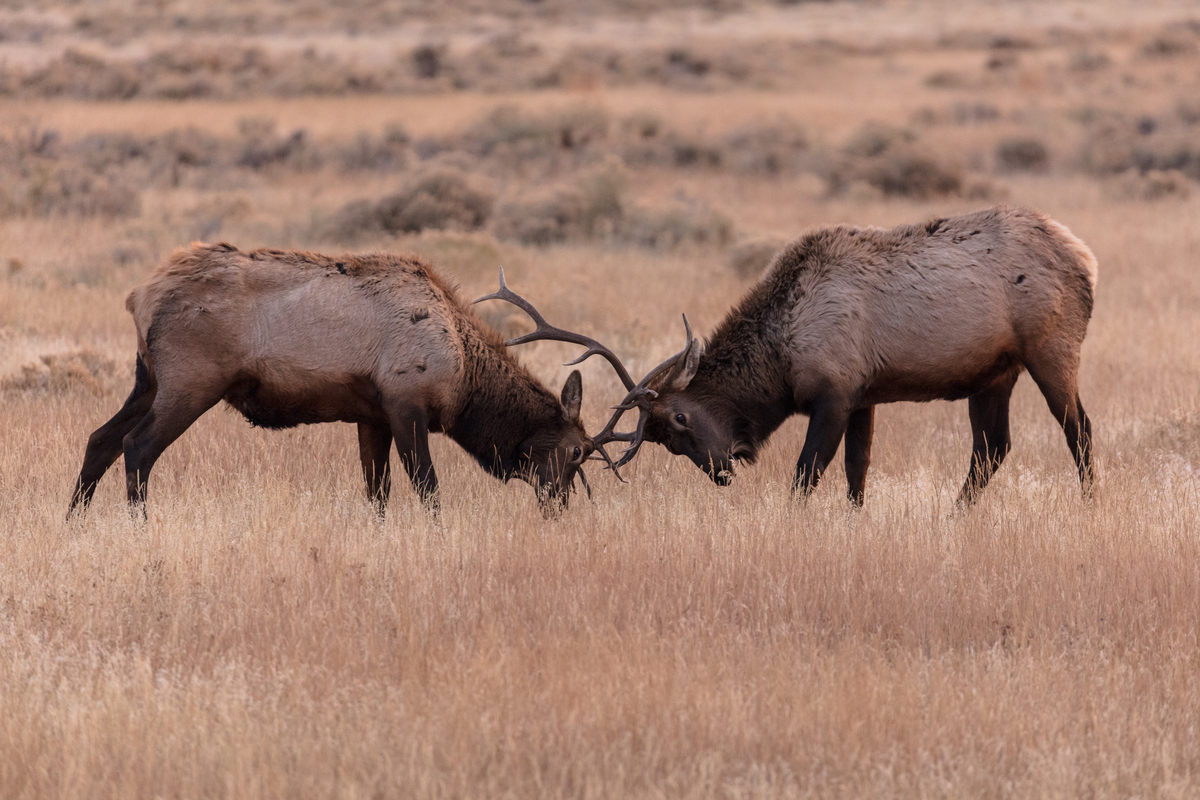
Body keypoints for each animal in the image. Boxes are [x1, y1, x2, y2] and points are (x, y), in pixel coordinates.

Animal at [68, 243, 614, 518]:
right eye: (576, 451)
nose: (558, 507)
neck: (463, 381)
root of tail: (139, 296)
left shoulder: (371, 415)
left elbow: (378, 492)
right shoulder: (406, 403)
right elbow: (428, 487)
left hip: (148, 380)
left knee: (99, 439)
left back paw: (74, 524)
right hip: (191, 382)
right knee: (137, 447)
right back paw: (138, 528)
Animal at [590, 205, 1098, 505]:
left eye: (680, 419)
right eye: (665, 442)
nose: (720, 472)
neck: (781, 356)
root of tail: (1086, 259)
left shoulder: (834, 394)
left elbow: (806, 473)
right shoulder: (863, 396)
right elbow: (858, 470)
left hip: (1051, 350)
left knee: (1079, 429)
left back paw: (1090, 503)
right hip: (994, 374)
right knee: (992, 446)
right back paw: (955, 514)